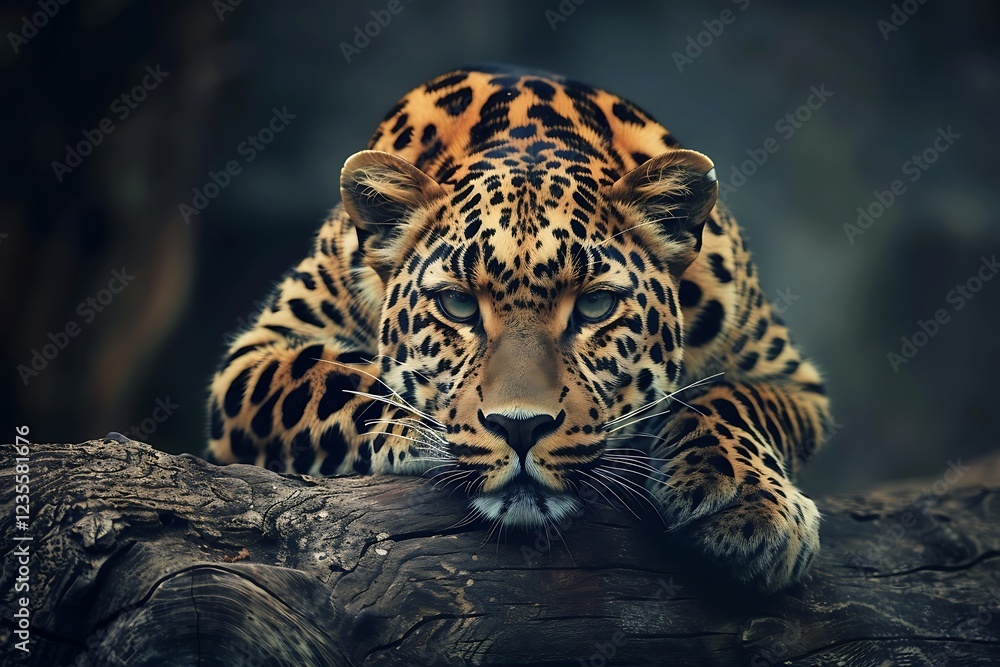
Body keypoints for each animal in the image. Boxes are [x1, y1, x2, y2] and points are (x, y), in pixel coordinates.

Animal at [206, 65, 832, 593]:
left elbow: (731, 398)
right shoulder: (253, 358)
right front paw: (421, 429)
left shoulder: (790, 378)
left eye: (595, 305)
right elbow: (339, 377)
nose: (520, 427)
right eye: (458, 305)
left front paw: (748, 505)